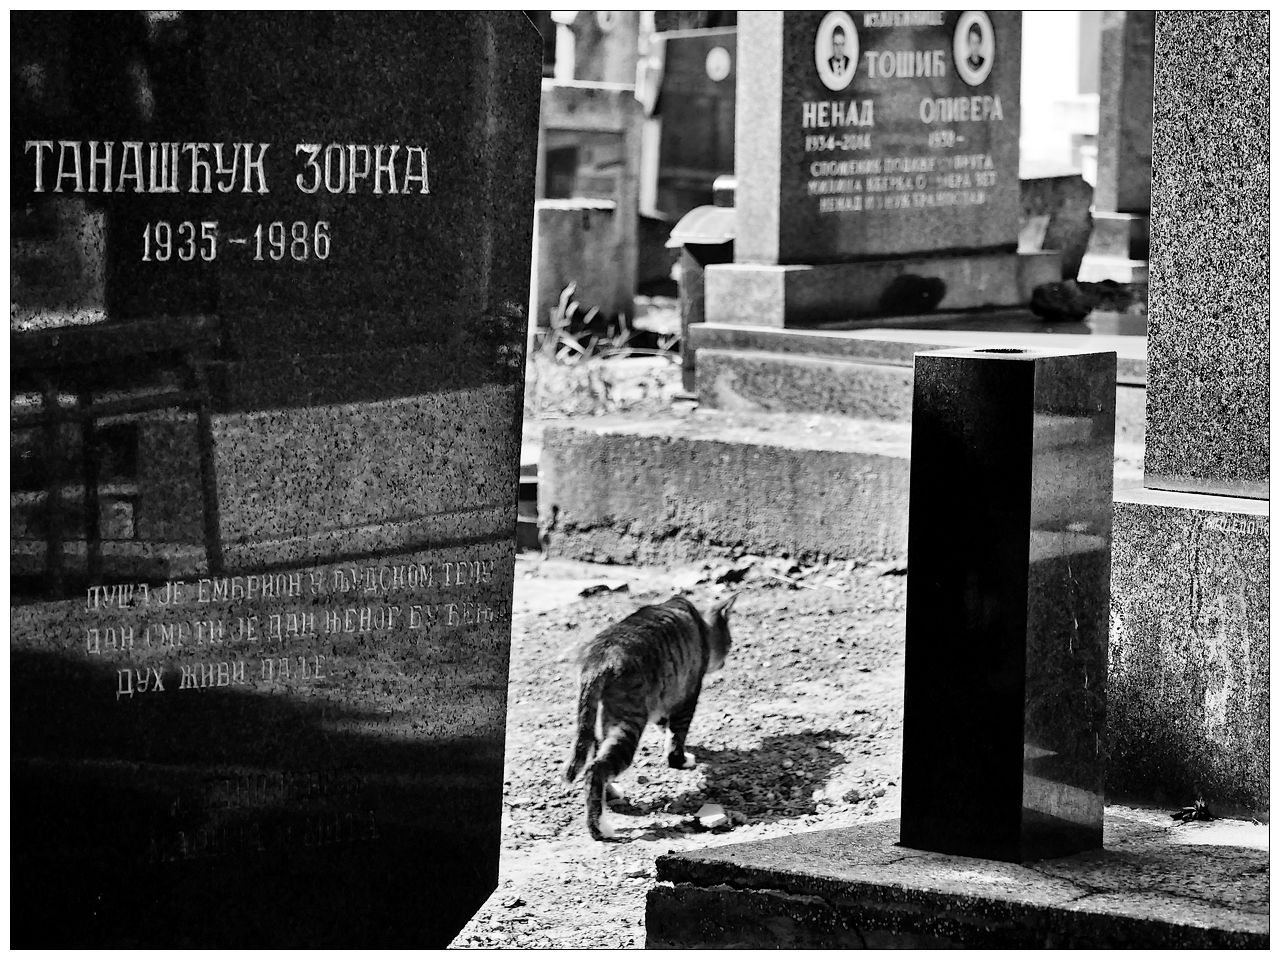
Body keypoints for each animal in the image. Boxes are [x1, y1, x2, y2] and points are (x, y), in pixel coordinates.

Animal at [563, 593, 737, 839]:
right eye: (729, 643)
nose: (724, 662)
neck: (698, 623)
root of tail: (596, 661)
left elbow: (665, 726)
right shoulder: (688, 695)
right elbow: (677, 735)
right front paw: (681, 760)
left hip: (600, 720)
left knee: (594, 757)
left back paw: (610, 794)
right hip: (629, 719)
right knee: (596, 769)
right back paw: (599, 828)